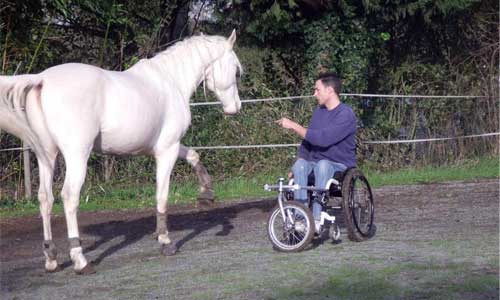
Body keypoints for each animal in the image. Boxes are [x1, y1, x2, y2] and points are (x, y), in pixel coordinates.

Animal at [0, 31, 242, 274]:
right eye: (235, 69)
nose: (235, 108)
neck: (170, 80)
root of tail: (42, 79)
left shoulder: (166, 146)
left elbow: (193, 155)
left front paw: (206, 193)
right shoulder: (167, 150)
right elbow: (162, 196)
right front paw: (165, 241)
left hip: (47, 157)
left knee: (45, 199)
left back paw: (51, 258)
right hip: (77, 157)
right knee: (69, 197)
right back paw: (80, 260)